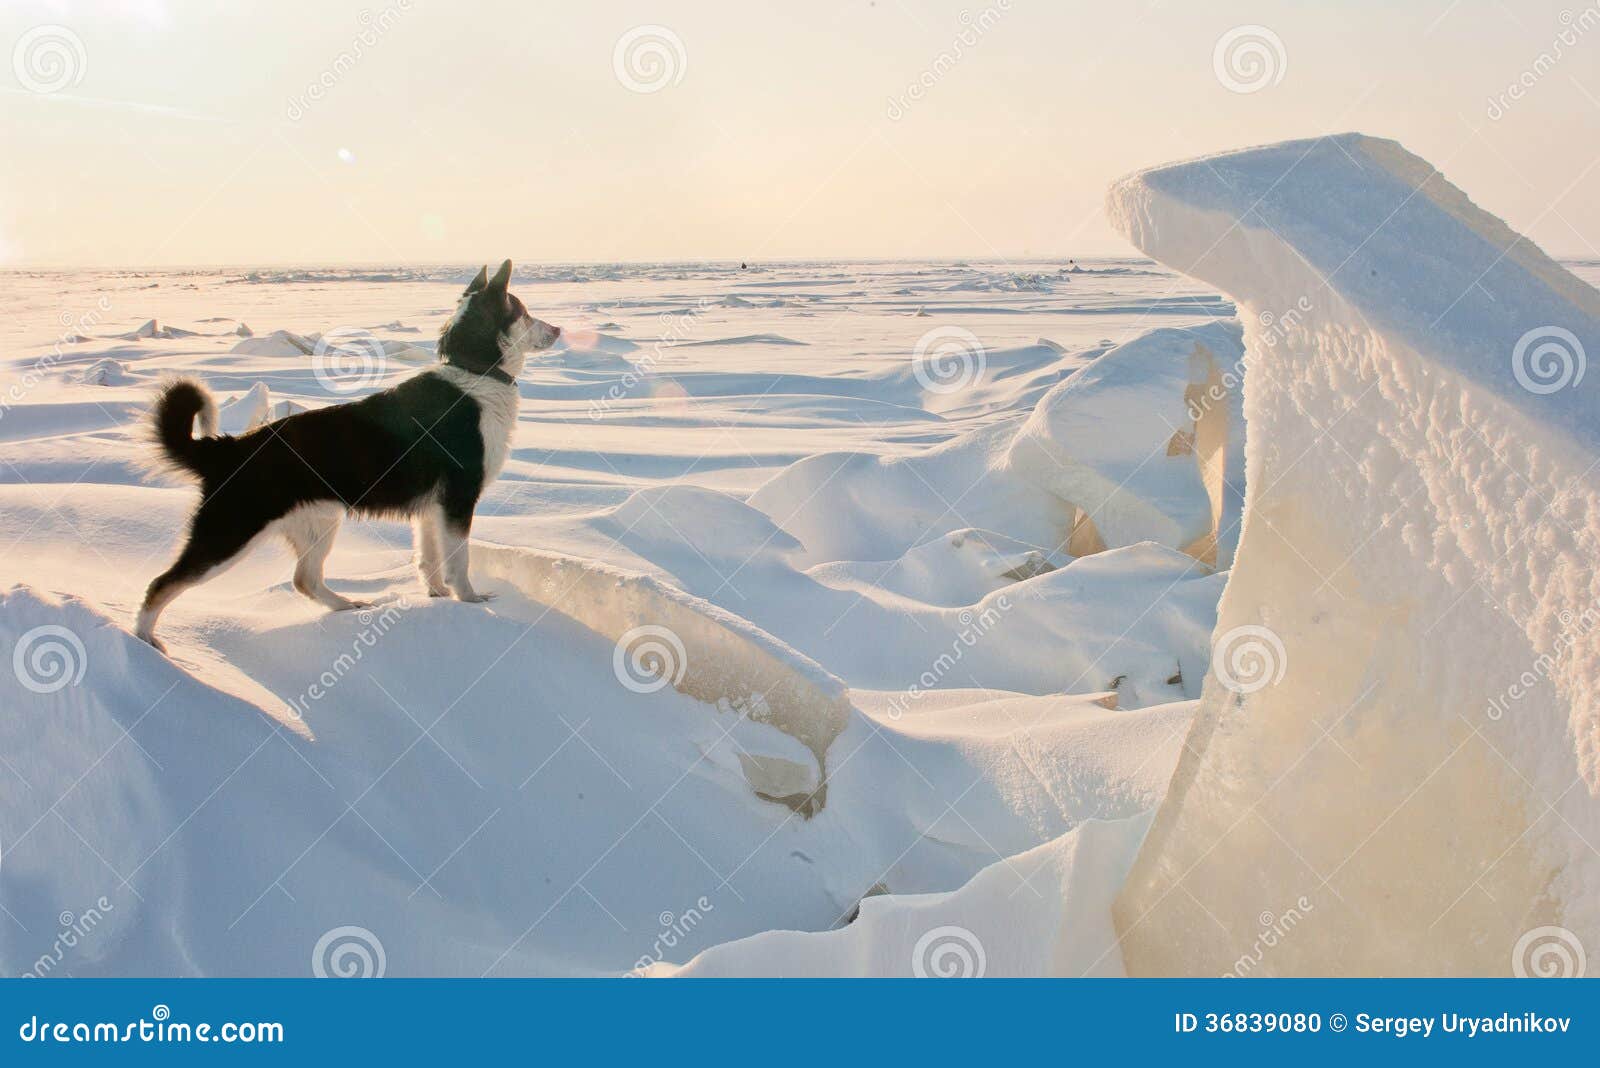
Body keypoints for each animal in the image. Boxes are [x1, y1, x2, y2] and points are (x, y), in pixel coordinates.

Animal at [137, 262, 563, 655]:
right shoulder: (459, 498)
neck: (475, 373)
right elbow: (458, 561)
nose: (558, 329)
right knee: (161, 584)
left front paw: (436, 596)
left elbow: (428, 559)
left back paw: (346, 606)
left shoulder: (432, 508)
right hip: (230, 535)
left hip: (320, 522)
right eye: (524, 312)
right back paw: (145, 643)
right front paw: (470, 601)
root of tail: (229, 447)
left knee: (304, 579)